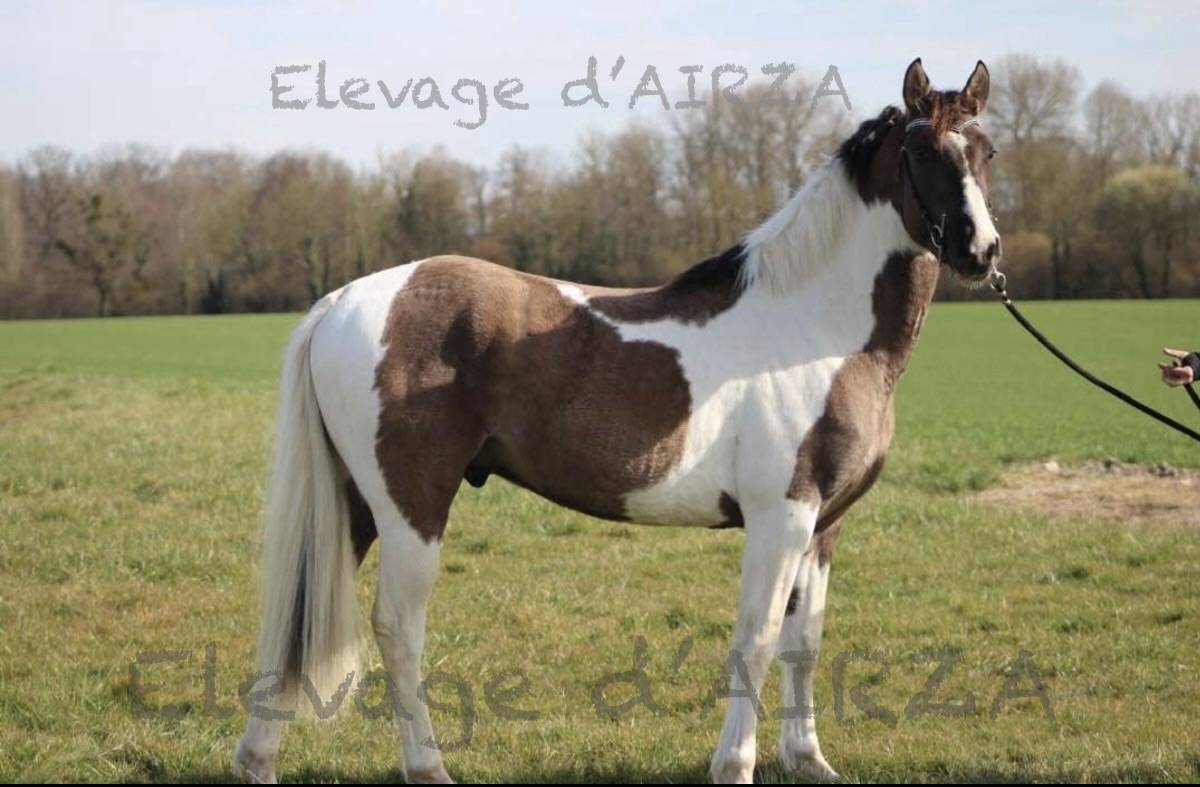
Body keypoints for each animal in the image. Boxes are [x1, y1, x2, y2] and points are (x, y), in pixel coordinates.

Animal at [233, 57, 1000, 784]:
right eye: (923, 151)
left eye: (986, 150)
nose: (981, 251)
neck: (817, 328)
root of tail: (340, 300)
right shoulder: (780, 516)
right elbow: (753, 642)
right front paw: (735, 765)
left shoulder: (823, 524)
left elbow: (801, 644)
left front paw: (807, 758)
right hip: (409, 507)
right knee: (398, 628)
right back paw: (428, 765)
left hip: (354, 501)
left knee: (295, 617)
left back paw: (259, 759)